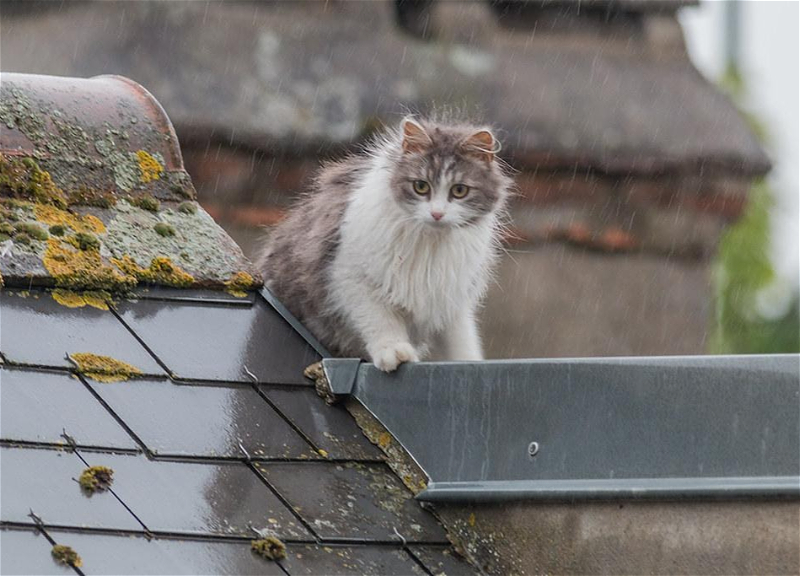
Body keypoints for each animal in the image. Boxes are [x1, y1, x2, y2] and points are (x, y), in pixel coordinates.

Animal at [260, 115, 516, 372]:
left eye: (459, 190)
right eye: (421, 186)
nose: (437, 214)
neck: (430, 244)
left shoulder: (451, 298)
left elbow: (461, 343)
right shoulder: (350, 275)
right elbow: (380, 320)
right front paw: (393, 352)